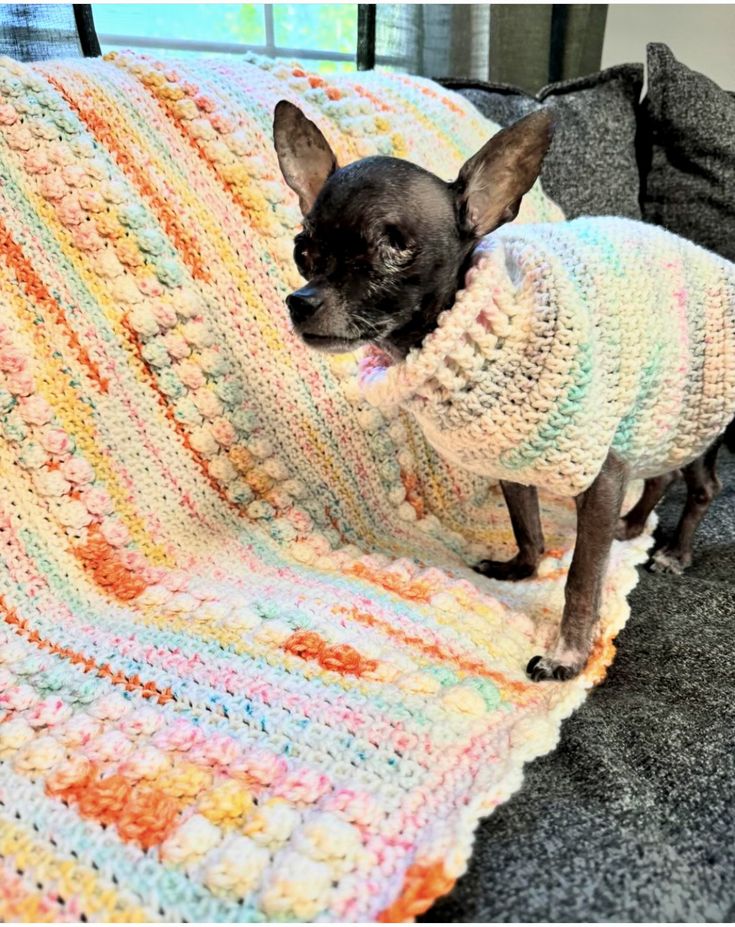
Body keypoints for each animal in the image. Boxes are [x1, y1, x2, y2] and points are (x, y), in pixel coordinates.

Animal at [274, 99, 732, 680]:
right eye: (303, 251)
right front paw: (521, 568)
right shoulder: (511, 463)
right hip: (662, 414)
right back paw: (632, 524)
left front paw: (567, 655)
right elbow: (526, 527)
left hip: (701, 414)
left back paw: (675, 550)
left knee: (703, 485)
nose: (301, 301)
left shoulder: (600, 475)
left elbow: (582, 580)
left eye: (393, 248)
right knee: (663, 472)